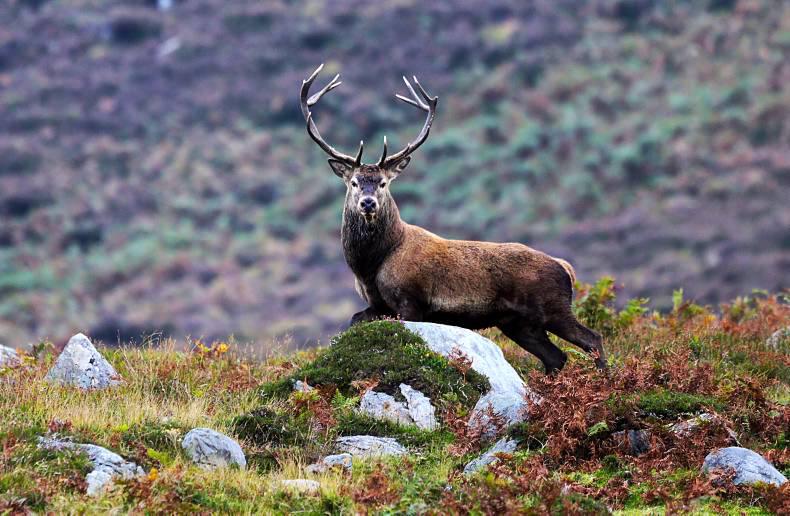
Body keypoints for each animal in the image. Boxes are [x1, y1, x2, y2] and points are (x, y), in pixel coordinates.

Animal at [299, 64, 607, 374]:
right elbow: (353, 320)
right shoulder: (378, 305)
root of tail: (565, 268)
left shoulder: (411, 300)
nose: (368, 202)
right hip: (519, 324)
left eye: (383, 183)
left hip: (553, 307)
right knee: (556, 356)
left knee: (592, 338)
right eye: (354, 182)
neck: (371, 265)